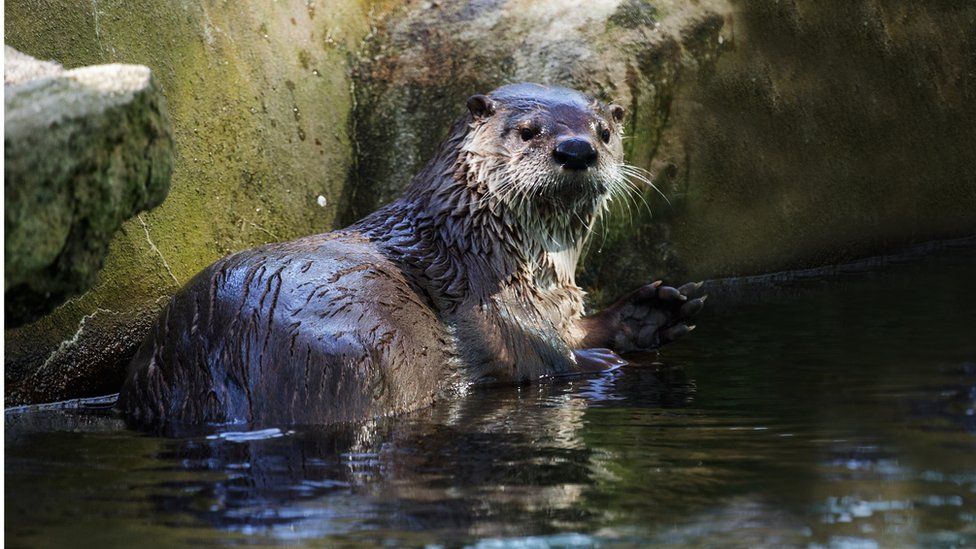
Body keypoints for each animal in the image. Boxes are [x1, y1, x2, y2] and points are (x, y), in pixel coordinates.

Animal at [120, 83, 700, 428]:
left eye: (604, 132)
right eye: (527, 131)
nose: (577, 149)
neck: (479, 244)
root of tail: (206, 362)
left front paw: (647, 313)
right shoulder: (490, 301)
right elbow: (536, 356)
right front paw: (602, 361)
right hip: (345, 359)